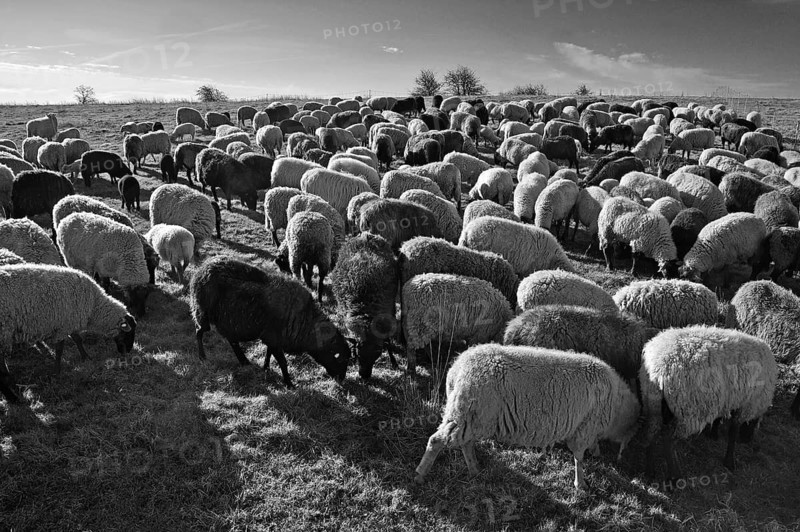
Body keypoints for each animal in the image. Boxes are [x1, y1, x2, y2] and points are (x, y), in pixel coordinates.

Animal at [0, 264, 137, 402]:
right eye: (128, 334)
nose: (128, 351)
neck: (94, 306)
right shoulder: (64, 326)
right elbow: (60, 350)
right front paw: (57, 372)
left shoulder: (71, 322)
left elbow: (78, 339)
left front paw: (86, 357)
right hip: (4, 332)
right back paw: (13, 398)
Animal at [189, 256, 350, 386]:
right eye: (339, 358)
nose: (341, 380)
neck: (305, 322)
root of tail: (201, 268)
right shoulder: (273, 338)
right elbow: (282, 362)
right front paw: (289, 384)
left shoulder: (272, 338)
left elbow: (269, 354)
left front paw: (266, 368)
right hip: (202, 312)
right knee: (198, 332)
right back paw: (202, 357)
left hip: (228, 322)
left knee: (231, 340)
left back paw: (244, 361)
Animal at [414, 343, 641, 489]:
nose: (625, 461)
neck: (618, 407)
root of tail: (457, 368)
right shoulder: (584, 427)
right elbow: (578, 458)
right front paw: (581, 484)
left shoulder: (588, 428)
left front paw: (595, 453)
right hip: (468, 412)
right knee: (437, 440)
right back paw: (421, 473)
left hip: (471, 415)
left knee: (464, 443)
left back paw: (474, 469)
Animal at [640, 326, 777, 478]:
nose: (747, 440)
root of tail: (660, 367)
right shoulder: (745, 404)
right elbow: (733, 432)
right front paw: (729, 462)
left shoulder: (725, 398)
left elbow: (719, 419)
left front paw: (713, 434)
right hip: (689, 409)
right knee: (669, 440)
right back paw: (675, 476)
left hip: (653, 403)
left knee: (651, 430)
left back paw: (650, 470)